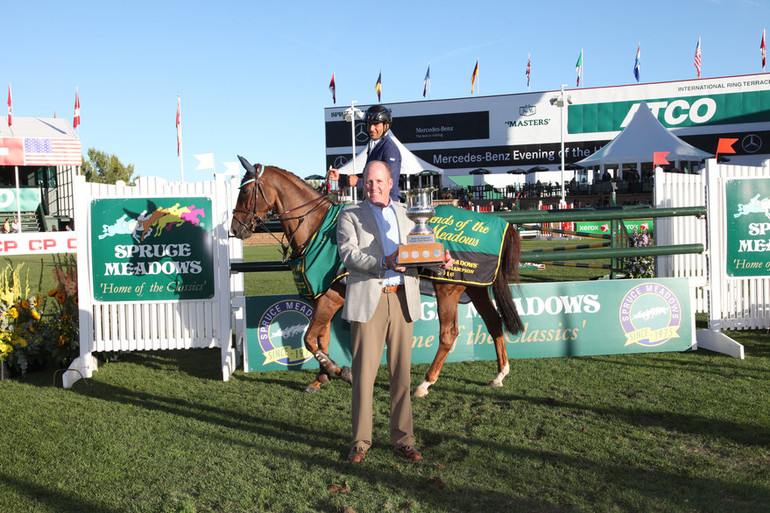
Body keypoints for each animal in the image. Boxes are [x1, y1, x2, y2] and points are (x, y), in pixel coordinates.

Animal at [231, 159, 524, 396]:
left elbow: (310, 339)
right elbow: (320, 339)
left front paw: (339, 371)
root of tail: (501, 224)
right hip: (475, 287)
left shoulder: (331, 298)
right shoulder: (323, 297)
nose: (235, 228)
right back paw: (499, 374)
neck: (317, 228)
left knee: (449, 334)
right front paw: (320, 378)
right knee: (494, 322)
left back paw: (425, 383)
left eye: (244, 191)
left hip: (448, 290)